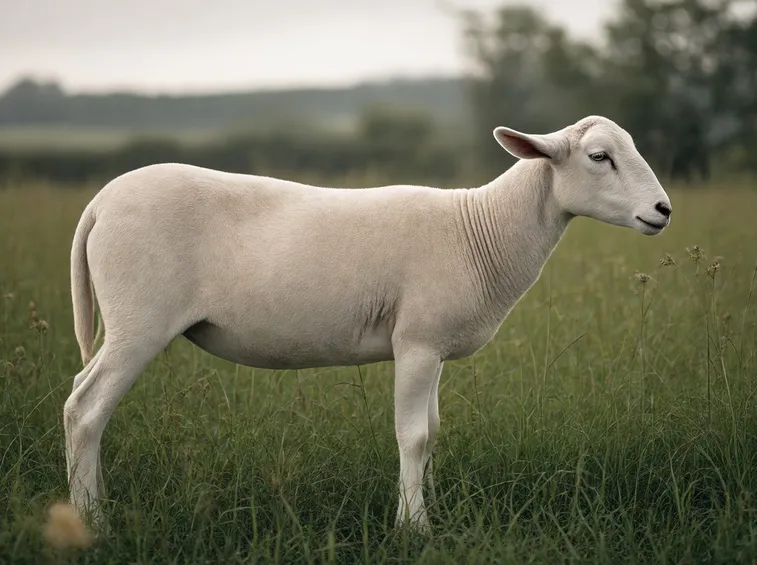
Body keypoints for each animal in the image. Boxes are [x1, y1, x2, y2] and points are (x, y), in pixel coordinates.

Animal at [64, 115, 672, 531]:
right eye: (599, 156)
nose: (664, 211)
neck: (483, 229)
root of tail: (99, 203)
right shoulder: (417, 343)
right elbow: (414, 435)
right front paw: (413, 528)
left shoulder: (434, 346)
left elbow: (433, 433)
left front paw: (430, 512)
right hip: (139, 320)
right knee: (84, 410)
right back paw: (92, 519)